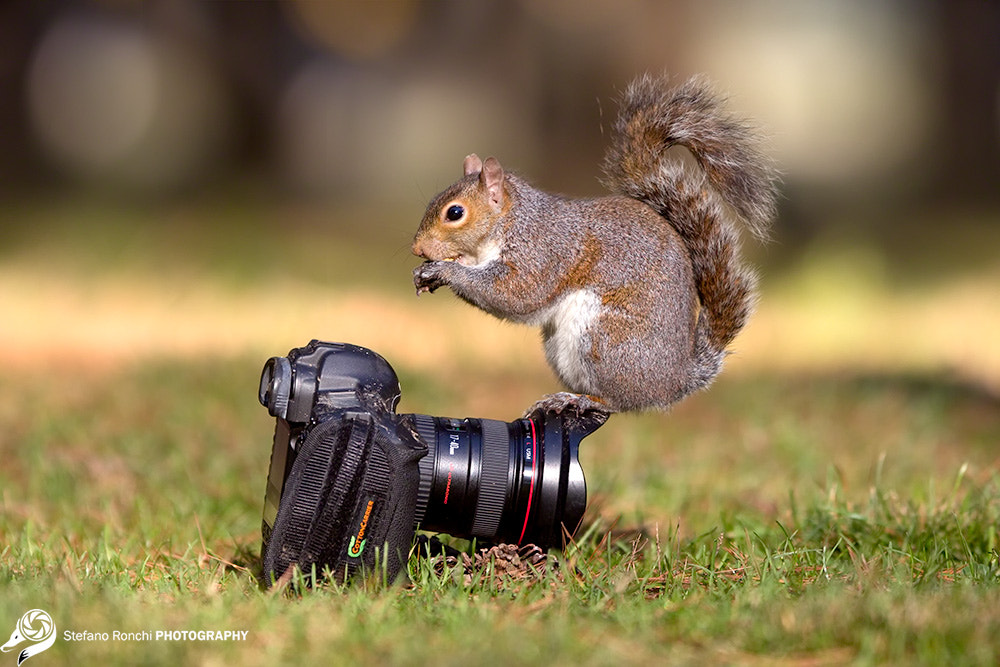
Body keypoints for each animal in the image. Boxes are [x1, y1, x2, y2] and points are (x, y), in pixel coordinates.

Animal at [410, 74, 776, 418]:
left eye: (455, 213)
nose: (417, 249)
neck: (510, 223)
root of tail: (676, 381)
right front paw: (427, 273)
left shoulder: (544, 251)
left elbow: (515, 293)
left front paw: (445, 270)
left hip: (606, 338)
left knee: (620, 402)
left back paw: (578, 399)